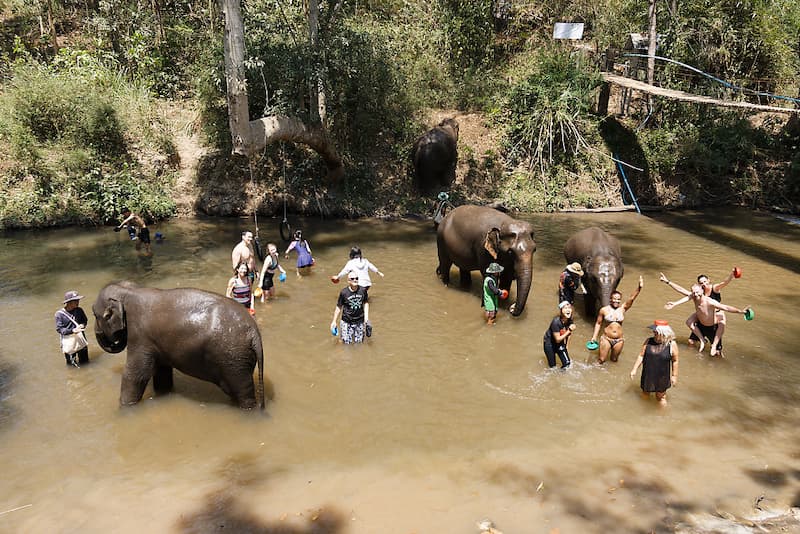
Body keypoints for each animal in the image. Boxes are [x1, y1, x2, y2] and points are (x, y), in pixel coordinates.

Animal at [92, 282, 264, 412]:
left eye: (95, 314)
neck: (129, 291)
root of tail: (254, 333)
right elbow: (162, 372)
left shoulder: (140, 336)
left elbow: (135, 375)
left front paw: (123, 409)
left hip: (234, 361)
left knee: (243, 393)